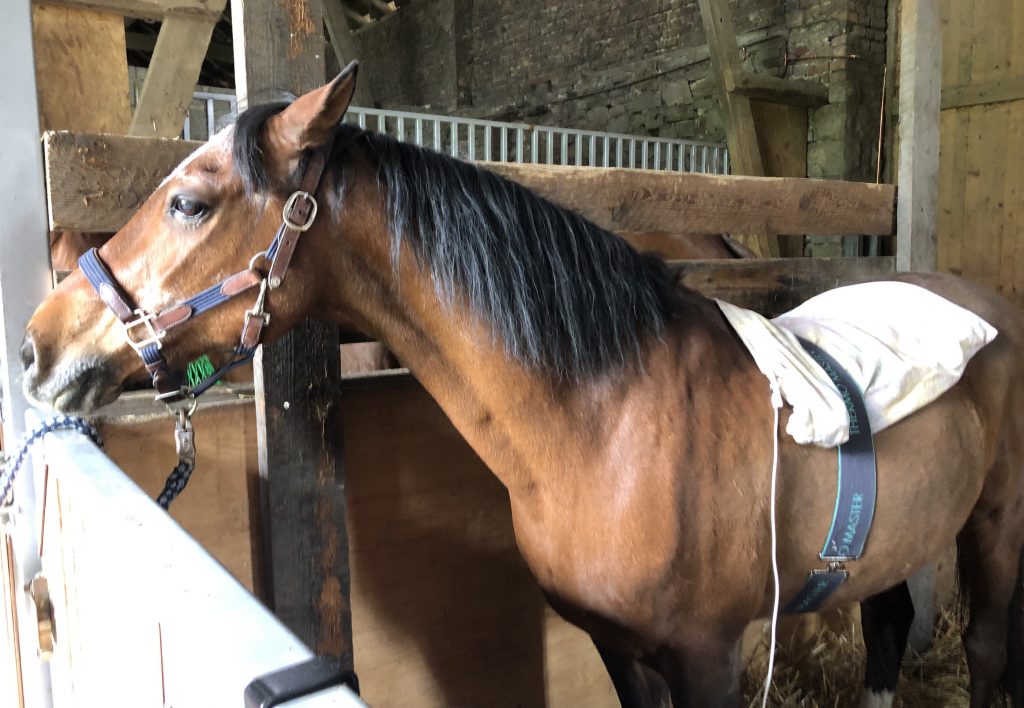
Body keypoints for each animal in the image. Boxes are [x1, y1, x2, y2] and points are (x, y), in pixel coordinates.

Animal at [20, 63, 1024, 707]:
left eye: (189, 202)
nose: (38, 349)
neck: (614, 423)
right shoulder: (620, 648)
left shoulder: (708, 656)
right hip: (891, 542)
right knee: (890, 624)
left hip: (995, 525)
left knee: (984, 646)